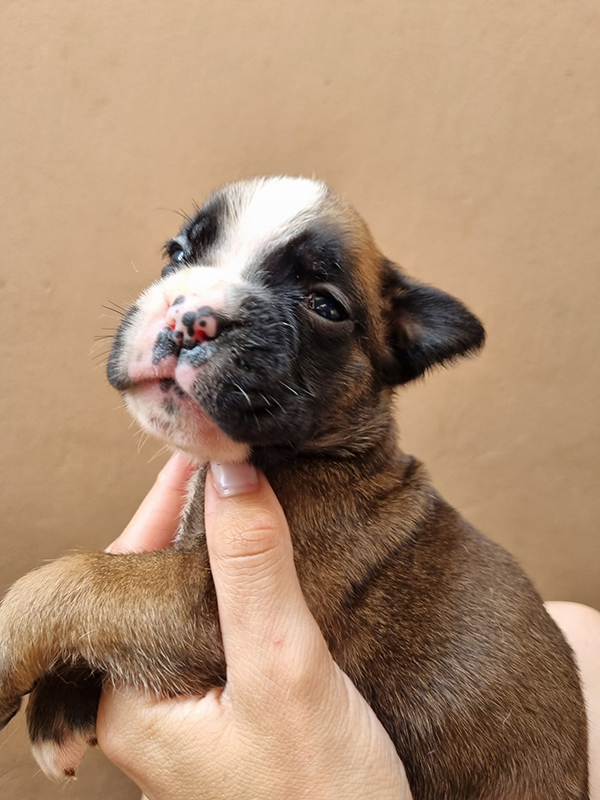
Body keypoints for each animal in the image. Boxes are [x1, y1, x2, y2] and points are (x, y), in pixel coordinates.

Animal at [0, 176, 588, 798]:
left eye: (324, 306)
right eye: (178, 253)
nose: (192, 317)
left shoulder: (201, 608)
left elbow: (75, 582)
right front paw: (62, 712)